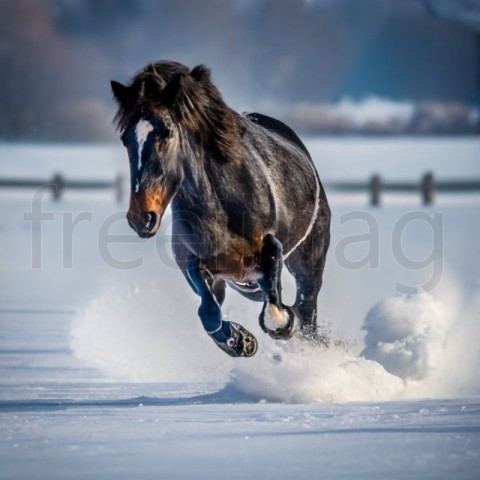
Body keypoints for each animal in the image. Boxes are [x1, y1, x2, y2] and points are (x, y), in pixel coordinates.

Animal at [111, 61, 330, 356]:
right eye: (126, 138)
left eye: (167, 133)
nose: (141, 217)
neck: (221, 211)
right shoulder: (200, 267)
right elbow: (208, 312)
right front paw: (240, 341)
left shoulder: (271, 247)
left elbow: (276, 311)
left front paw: (282, 323)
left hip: (309, 260)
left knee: (307, 308)